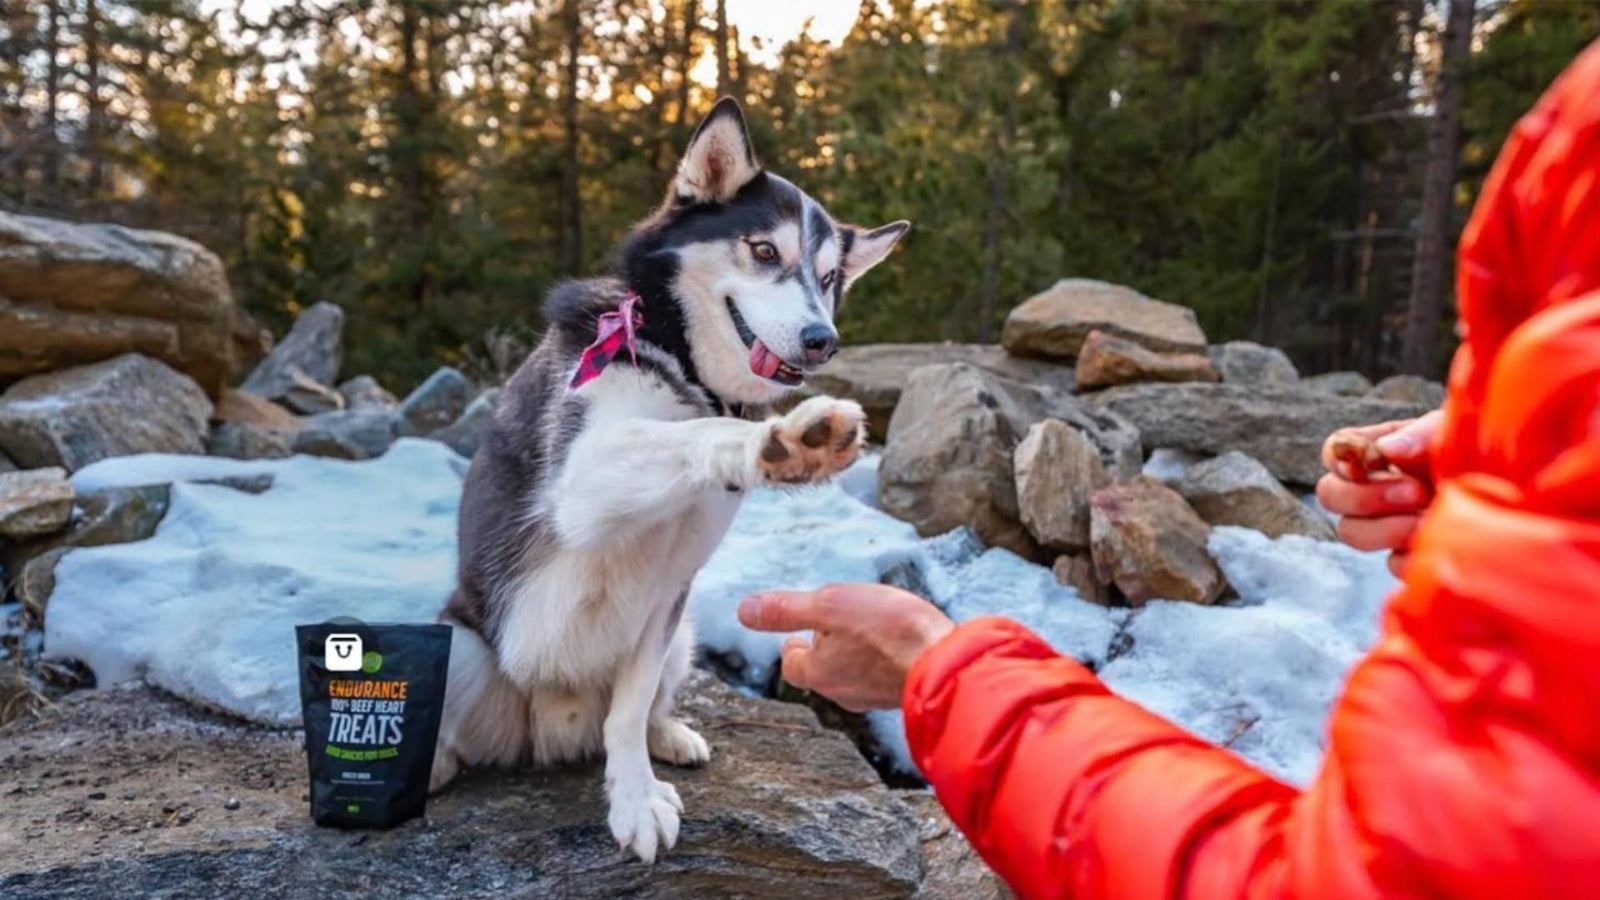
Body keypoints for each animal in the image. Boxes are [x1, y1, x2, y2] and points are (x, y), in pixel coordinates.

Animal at [432, 94, 908, 858]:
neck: (684, 363)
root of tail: (547, 733)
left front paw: (634, 794)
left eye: (830, 278)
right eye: (765, 250)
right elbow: (693, 434)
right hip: (458, 647)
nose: (822, 340)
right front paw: (784, 441)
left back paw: (669, 736)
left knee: (636, 709)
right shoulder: (581, 484)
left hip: (681, 637)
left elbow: (626, 715)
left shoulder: (667, 595)